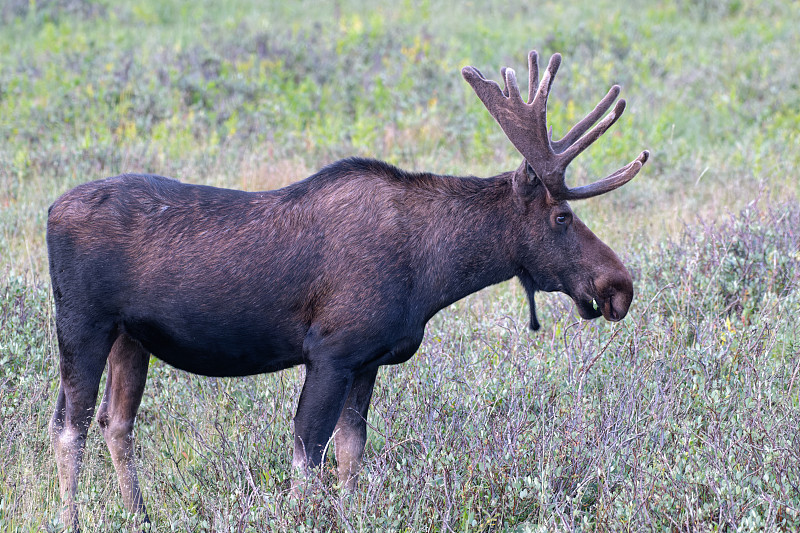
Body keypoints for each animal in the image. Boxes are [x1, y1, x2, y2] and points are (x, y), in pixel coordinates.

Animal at [47, 51, 648, 528]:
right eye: (563, 216)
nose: (619, 285)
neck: (432, 274)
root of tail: (49, 210)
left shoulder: (367, 360)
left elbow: (350, 457)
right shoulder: (331, 351)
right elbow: (306, 457)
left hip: (132, 338)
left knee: (116, 423)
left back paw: (138, 515)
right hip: (82, 324)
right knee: (68, 426)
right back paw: (72, 518)